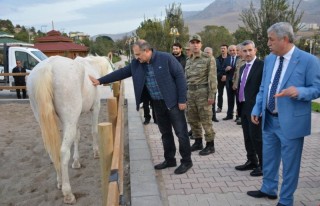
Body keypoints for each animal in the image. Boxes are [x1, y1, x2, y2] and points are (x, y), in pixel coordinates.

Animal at [26, 55, 114, 204]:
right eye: (111, 65)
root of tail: (48, 66)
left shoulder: (75, 118)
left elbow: (77, 137)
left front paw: (76, 162)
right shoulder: (95, 108)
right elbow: (93, 131)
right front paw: (96, 152)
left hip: (51, 121)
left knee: (53, 152)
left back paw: (60, 182)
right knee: (62, 152)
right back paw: (68, 193)